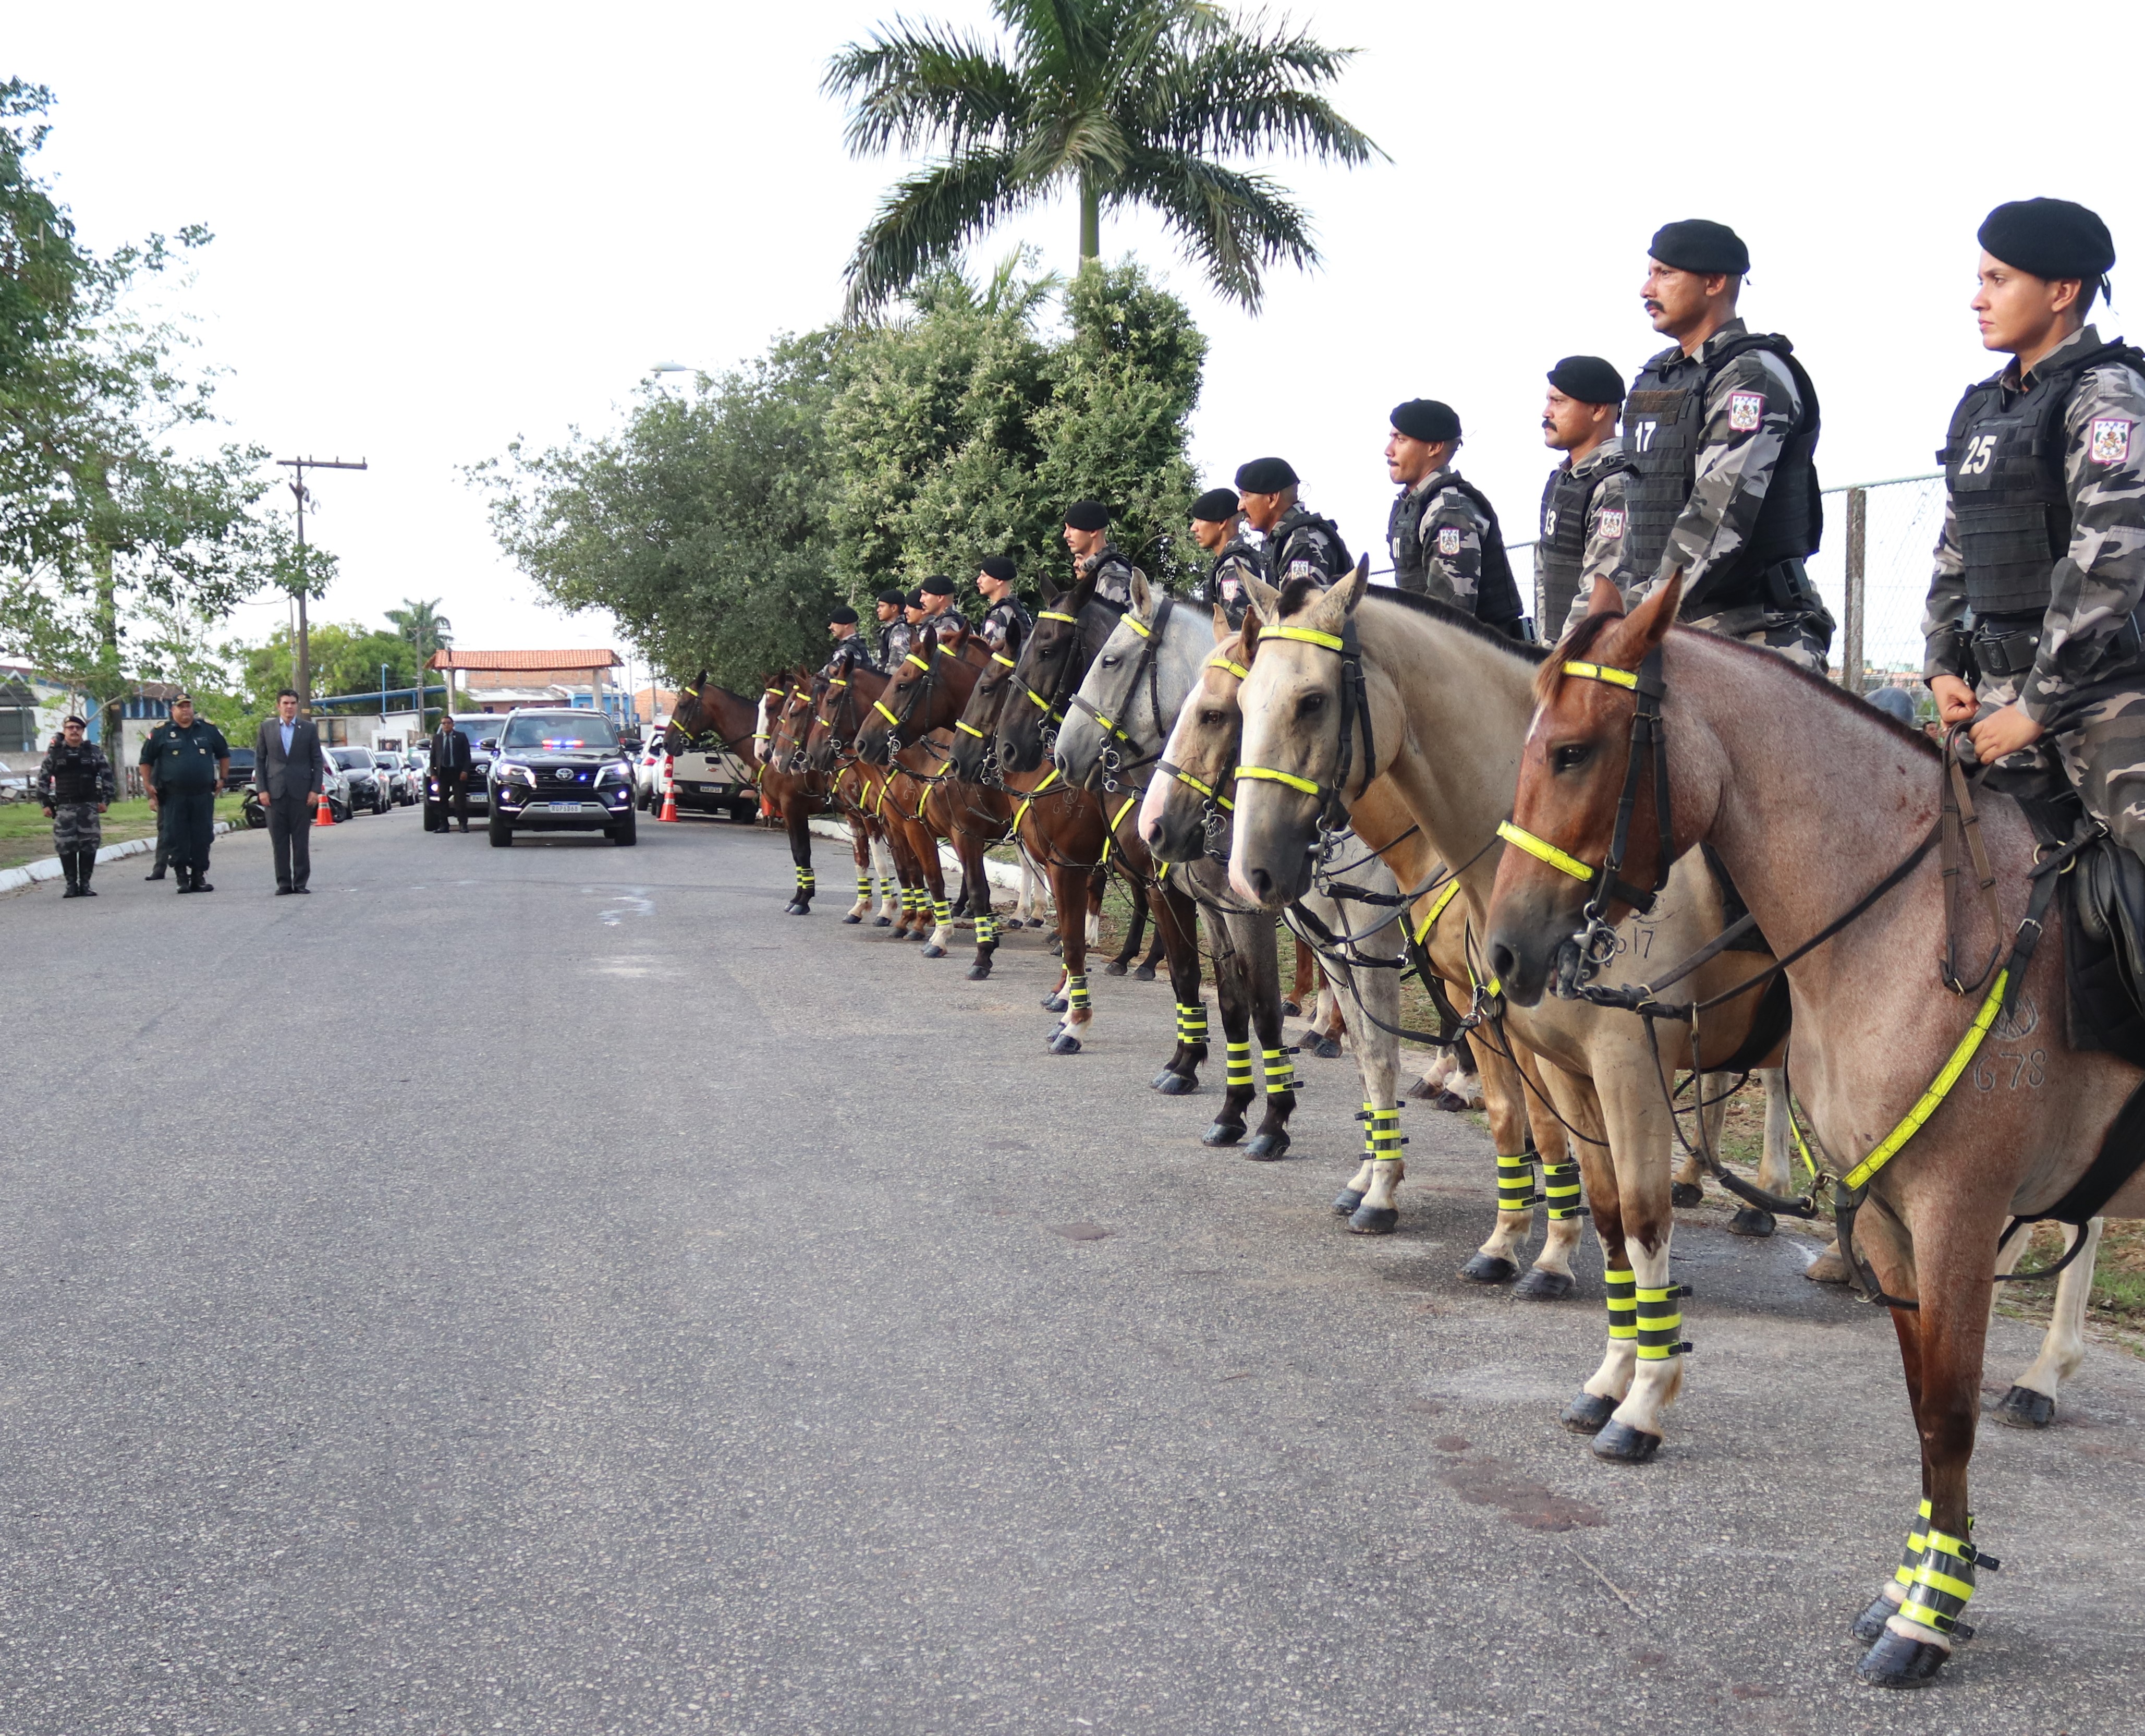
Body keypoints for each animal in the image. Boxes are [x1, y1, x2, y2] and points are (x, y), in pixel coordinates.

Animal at [1476, 575, 2145, 1682]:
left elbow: (1947, 1413)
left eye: (1570, 749)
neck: (1910, 929)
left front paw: (1924, 1622)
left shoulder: (1955, 1217)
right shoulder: (1886, 1219)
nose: (1502, 949)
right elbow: (1923, 1412)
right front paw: (1914, 1586)